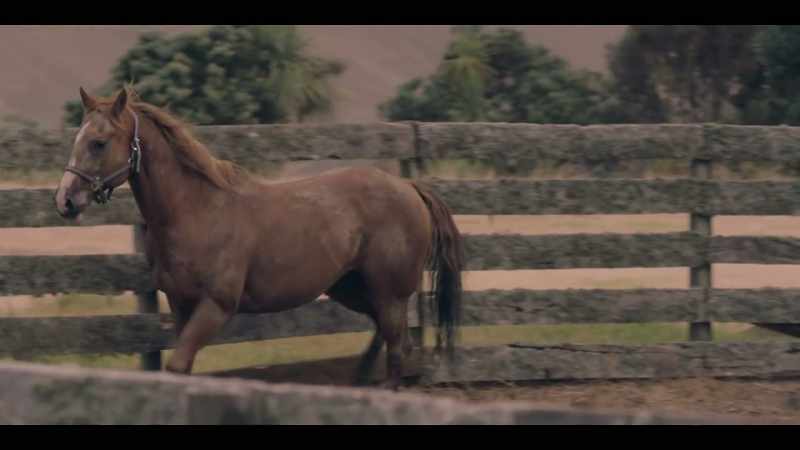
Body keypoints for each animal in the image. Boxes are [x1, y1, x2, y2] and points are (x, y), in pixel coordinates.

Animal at [53, 87, 464, 389]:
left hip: (389, 293)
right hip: (353, 289)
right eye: (78, 138)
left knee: (398, 349)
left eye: (99, 142)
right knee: (387, 338)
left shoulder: (216, 306)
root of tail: (409, 188)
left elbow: (178, 365)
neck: (196, 211)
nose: (65, 200)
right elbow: (183, 368)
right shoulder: (181, 304)